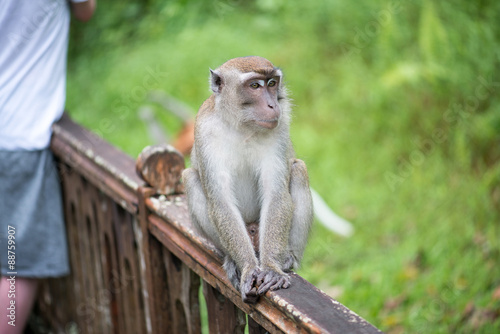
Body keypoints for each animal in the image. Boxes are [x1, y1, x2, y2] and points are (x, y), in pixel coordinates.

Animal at [182, 56, 312, 304]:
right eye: (254, 86)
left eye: (271, 83)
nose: (273, 105)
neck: (242, 125)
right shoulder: (204, 130)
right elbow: (221, 202)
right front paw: (249, 268)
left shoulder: (279, 128)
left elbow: (276, 194)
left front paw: (271, 268)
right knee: (191, 178)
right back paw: (233, 261)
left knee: (299, 170)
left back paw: (287, 258)